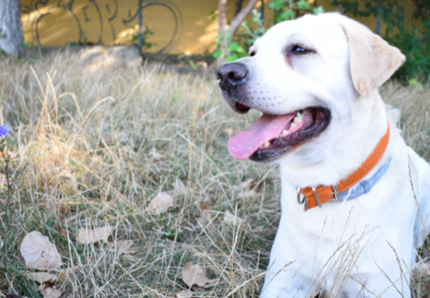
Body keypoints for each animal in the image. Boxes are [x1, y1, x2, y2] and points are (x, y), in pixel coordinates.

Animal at [217, 12, 430, 298]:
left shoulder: (383, 286)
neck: (328, 186)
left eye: (299, 49)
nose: (224, 74)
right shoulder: (282, 278)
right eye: (253, 52)